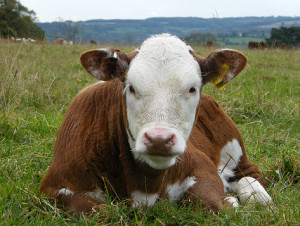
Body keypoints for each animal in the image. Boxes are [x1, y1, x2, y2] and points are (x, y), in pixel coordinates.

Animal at [39, 33, 272, 214]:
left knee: (249, 174)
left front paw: (230, 200)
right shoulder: (54, 186)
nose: (159, 139)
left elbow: (210, 201)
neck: (144, 183)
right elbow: (98, 211)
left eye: (192, 88)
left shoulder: (201, 165)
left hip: (235, 148)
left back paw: (258, 196)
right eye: (131, 87)